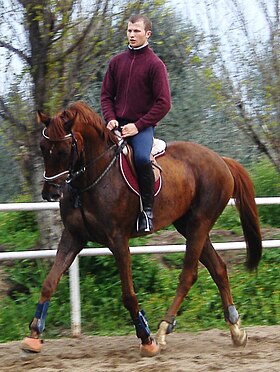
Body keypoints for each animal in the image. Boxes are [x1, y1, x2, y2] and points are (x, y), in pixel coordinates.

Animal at [21, 100, 262, 356]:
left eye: (65, 150)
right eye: (42, 147)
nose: (50, 193)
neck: (91, 181)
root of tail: (221, 160)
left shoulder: (118, 240)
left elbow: (128, 295)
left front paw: (146, 339)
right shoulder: (73, 237)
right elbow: (49, 283)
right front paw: (33, 336)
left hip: (200, 223)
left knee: (189, 274)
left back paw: (163, 330)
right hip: (189, 226)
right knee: (218, 269)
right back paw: (236, 330)